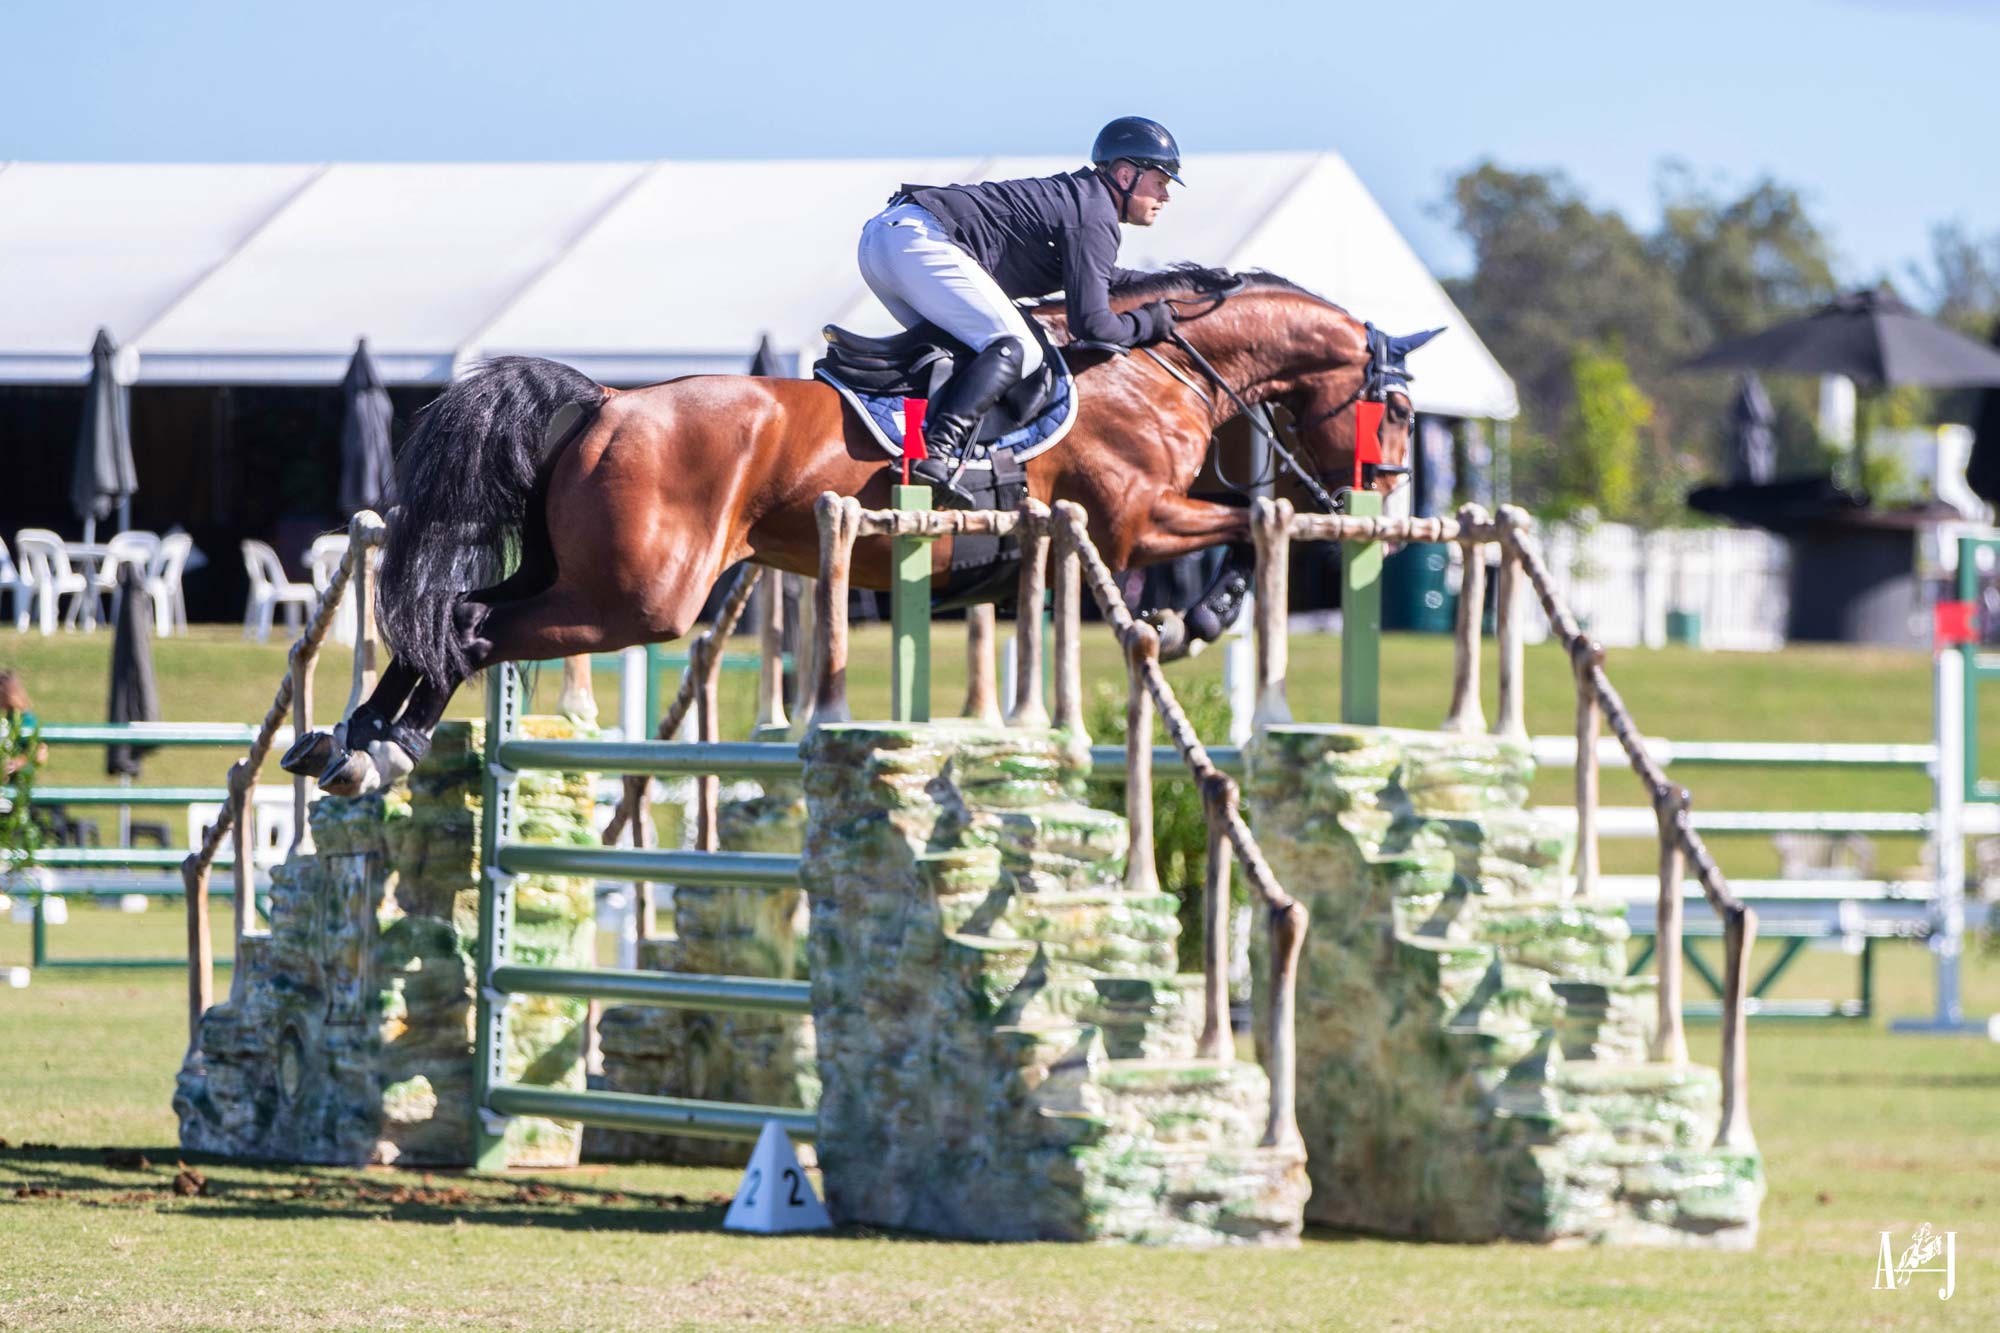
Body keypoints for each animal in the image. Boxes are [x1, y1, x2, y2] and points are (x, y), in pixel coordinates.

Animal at [286, 264, 1440, 792]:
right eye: (1397, 410)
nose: (1382, 492)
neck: (1158, 364)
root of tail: (605, 401)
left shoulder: (1111, 529)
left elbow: (1238, 523)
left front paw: (1185, 619)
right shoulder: (1133, 516)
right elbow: (1244, 521)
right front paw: (1200, 618)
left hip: (582, 579)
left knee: (451, 618)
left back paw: (361, 742)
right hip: (638, 598)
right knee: (472, 629)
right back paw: (379, 744)